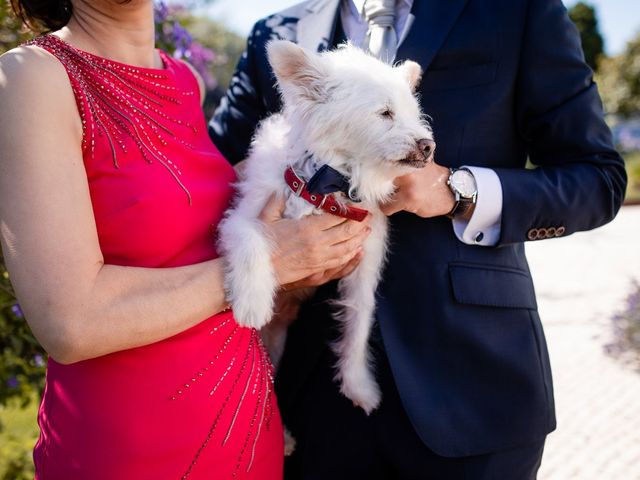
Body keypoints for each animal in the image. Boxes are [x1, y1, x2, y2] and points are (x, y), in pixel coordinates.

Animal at [218, 40, 432, 412]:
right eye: (385, 114)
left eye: (413, 115)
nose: (428, 145)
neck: (329, 185)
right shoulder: (239, 218)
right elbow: (251, 240)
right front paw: (252, 301)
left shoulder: (363, 269)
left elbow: (358, 325)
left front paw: (358, 384)